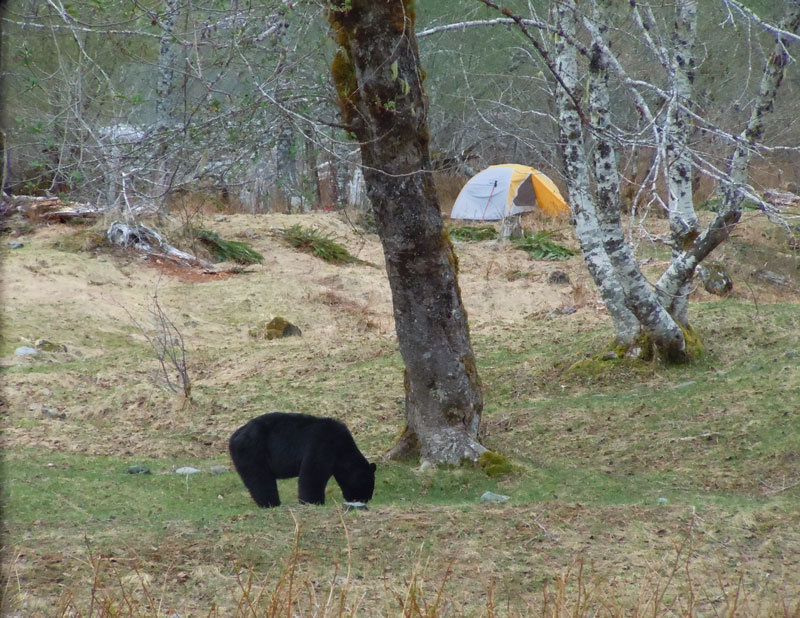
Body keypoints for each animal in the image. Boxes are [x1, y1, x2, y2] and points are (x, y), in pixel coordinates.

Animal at [228, 412, 376, 508]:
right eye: (368, 484)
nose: (366, 499)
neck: (342, 448)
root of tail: (234, 436)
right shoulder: (322, 444)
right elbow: (313, 472)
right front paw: (314, 501)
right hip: (252, 451)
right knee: (260, 478)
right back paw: (271, 503)